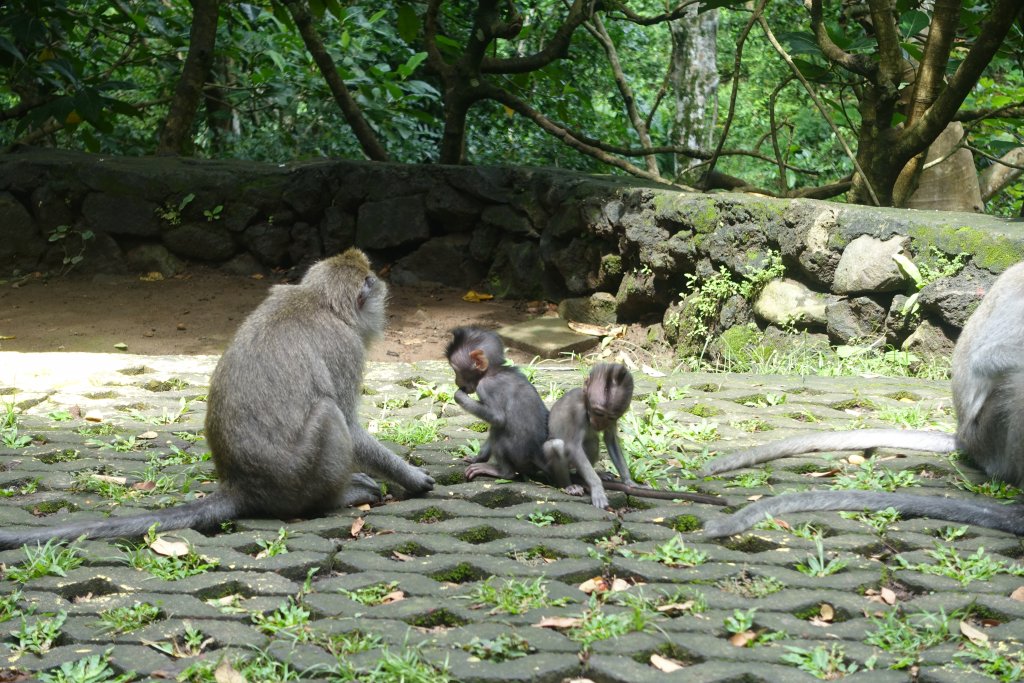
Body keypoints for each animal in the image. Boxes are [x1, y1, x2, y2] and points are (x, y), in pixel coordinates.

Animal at [0, 249, 432, 548]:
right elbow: (351, 424)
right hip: (301, 478)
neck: (317, 300)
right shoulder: (346, 348)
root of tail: (242, 487)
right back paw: (338, 497)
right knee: (328, 414)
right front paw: (412, 477)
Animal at [444, 327, 548, 481]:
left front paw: (458, 396)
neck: (495, 371)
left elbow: (497, 418)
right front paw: (477, 458)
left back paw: (503, 472)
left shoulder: (485, 386)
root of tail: (537, 456)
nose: (456, 382)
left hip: (518, 456)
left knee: (498, 430)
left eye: (455, 370)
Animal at [548, 362, 724, 507]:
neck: (585, 405)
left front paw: (629, 482)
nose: (599, 424)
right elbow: (574, 447)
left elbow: (610, 440)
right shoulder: (577, 411)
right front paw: (597, 487)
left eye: (609, 417)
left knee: (593, 442)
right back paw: (569, 485)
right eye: (598, 412)